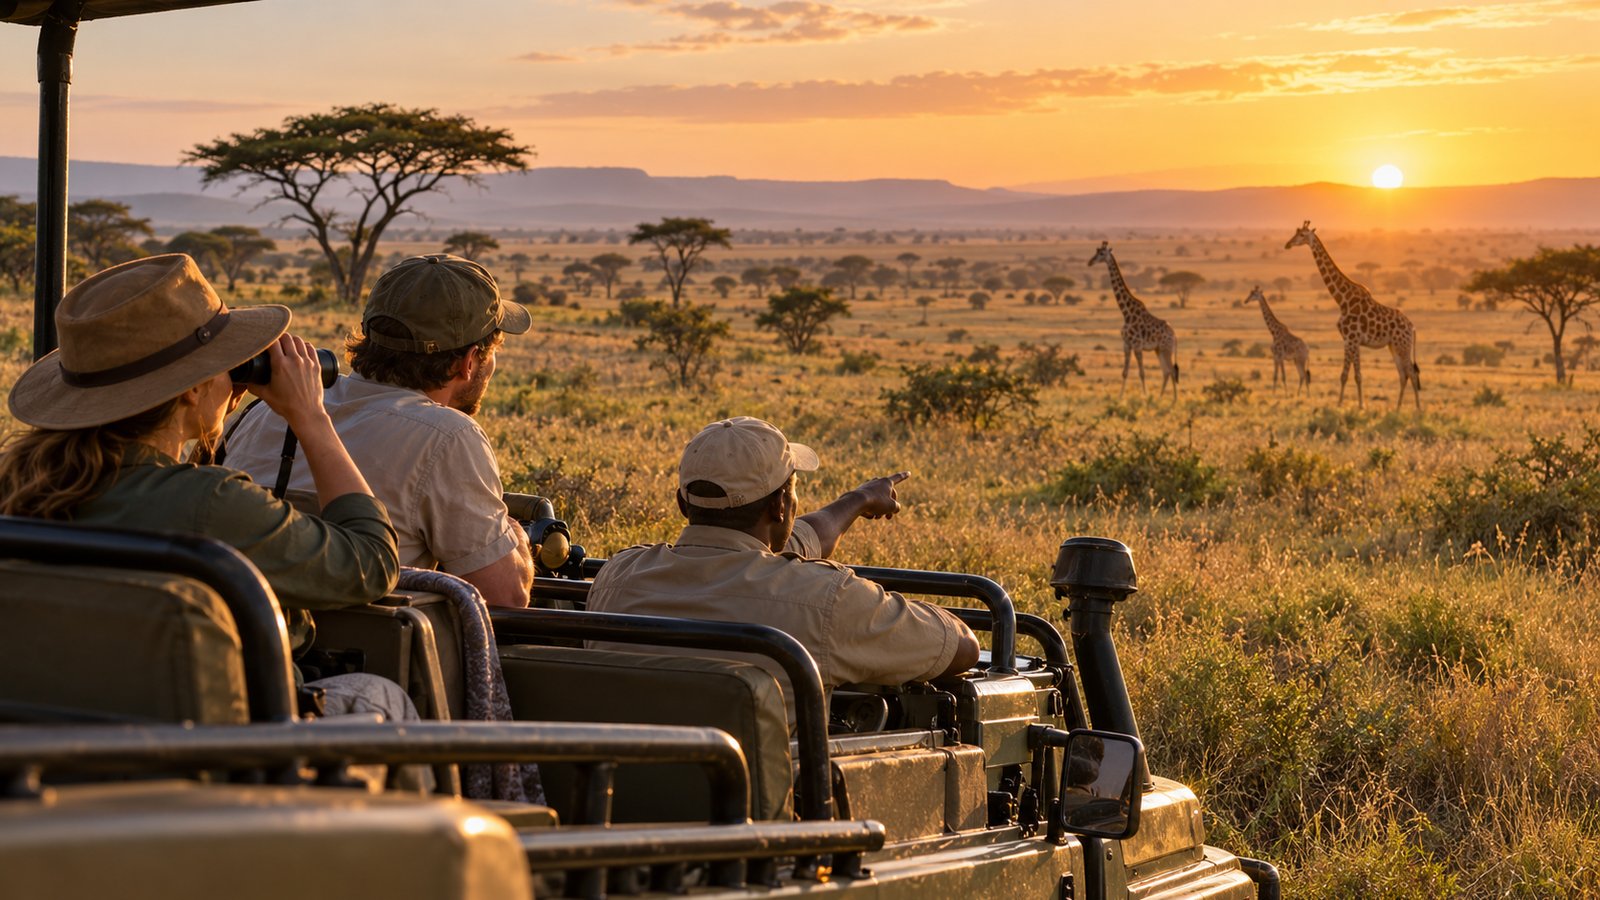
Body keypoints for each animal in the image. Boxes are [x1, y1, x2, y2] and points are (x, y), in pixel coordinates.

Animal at [1088, 241, 1179, 398]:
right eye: (1096, 251)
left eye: (1101, 253)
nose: (1090, 262)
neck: (1126, 313)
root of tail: (1175, 336)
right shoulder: (1126, 344)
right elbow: (1124, 372)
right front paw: (1120, 397)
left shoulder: (1137, 345)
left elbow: (1142, 373)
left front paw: (1145, 396)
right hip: (1159, 350)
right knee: (1166, 372)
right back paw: (1160, 398)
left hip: (1166, 349)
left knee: (1171, 371)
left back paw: (1174, 399)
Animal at [1284, 221, 1421, 410]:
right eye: (1296, 232)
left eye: (1303, 235)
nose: (1287, 244)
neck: (1342, 300)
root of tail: (1412, 327)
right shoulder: (1348, 340)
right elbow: (1347, 375)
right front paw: (1344, 404)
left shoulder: (1353, 339)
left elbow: (1354, 375)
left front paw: (1358, 406)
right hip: (1393, 346)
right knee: (1403, 375)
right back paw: (1397, 409)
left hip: (1403, 345)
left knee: (1412, 374)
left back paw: (1418, 410)